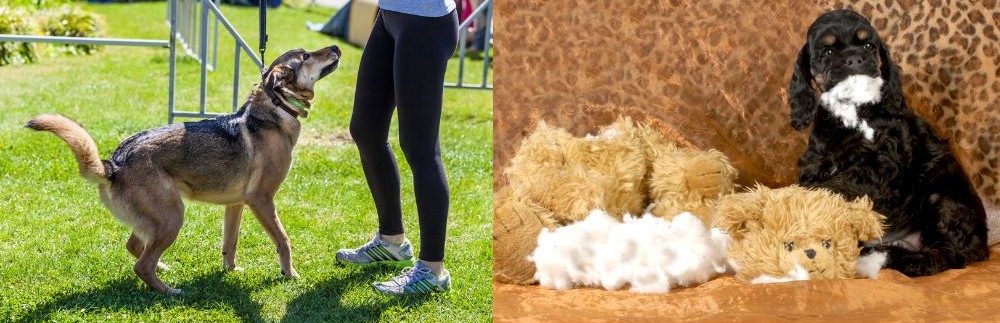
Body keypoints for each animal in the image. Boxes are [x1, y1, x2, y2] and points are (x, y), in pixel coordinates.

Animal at [25, 46, 342, 294]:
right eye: (306, 55)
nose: (337, 47)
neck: (276, 108)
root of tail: (114, 163)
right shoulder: (261, 200)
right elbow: (284, 240)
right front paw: (289, 274)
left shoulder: (236, 204)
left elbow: (230, 244)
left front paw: (230, 271)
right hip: (173, 218)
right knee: (141, 265)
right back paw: (169, 290)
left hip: (158, 220)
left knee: (135, 247)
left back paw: (163, 268)